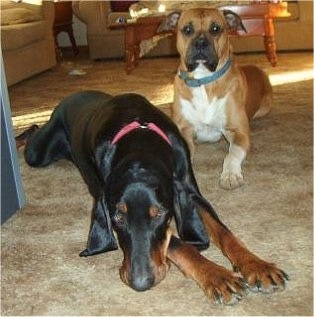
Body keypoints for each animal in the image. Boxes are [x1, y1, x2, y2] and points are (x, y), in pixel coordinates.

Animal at [22, 90, 288, 304]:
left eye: (159, 213)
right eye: (117, 217)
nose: (140, 283)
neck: (140, 141)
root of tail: (70, 97)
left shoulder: (189, 190)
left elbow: (224, 232)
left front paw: (257, 266)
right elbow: (180, 244)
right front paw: (217, 276)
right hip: (38, 153)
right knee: (34, 135)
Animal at [158, 8, 274, 189]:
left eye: (215, 29)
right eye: (187, 30)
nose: (200, 43)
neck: (204, 80)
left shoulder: (238, 132)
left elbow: (231, 155)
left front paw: (230, 175)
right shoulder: (184, 131)